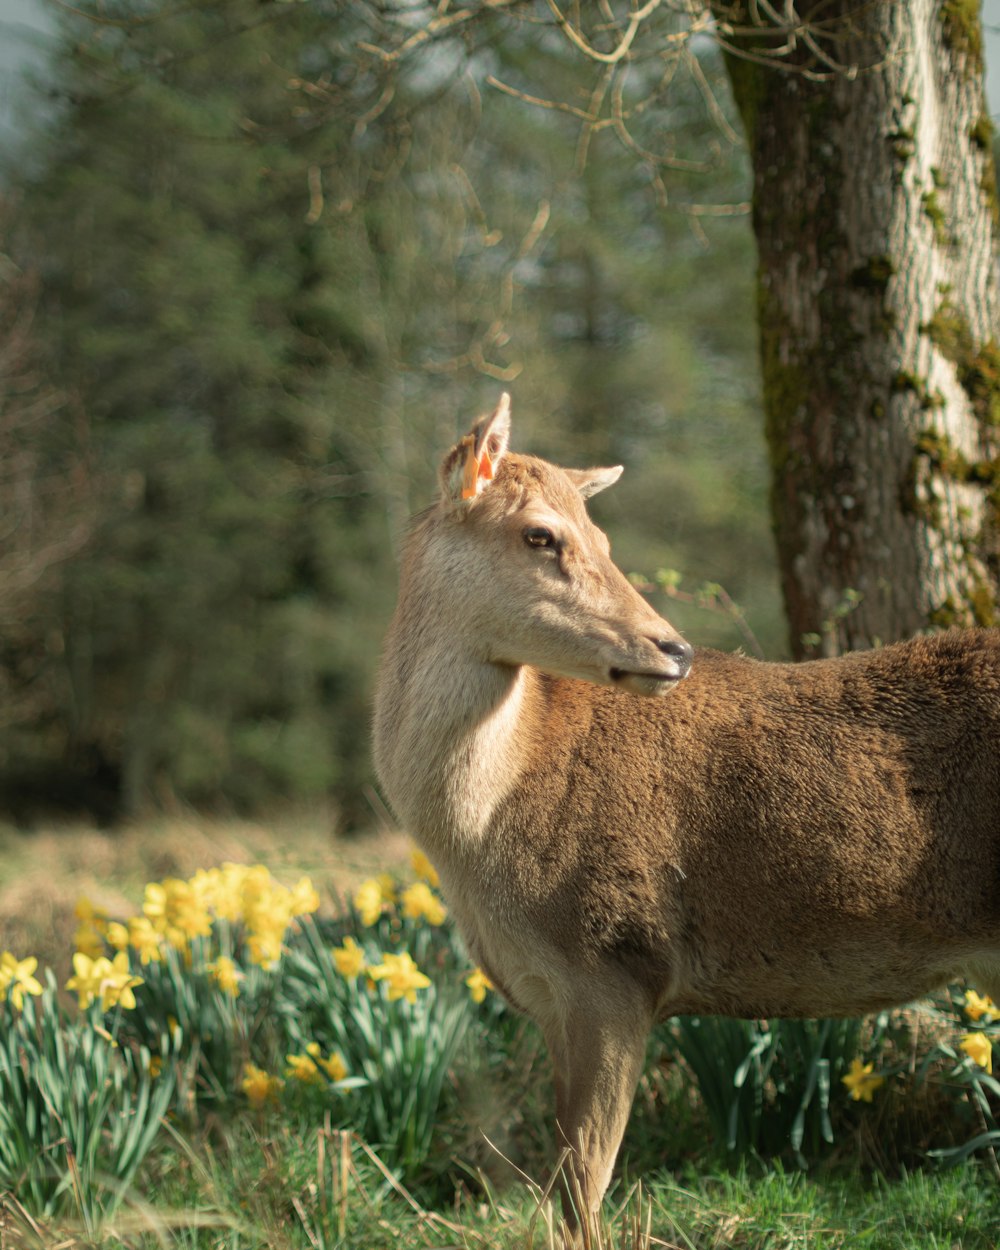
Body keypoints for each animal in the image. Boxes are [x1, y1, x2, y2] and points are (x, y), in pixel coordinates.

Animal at [370, 392, 1000, 1230]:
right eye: (540, 533)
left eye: (603, 537)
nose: (674, 650)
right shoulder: (550, 997)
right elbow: (560, 1188)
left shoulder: (616, 960)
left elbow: (582, 1190)